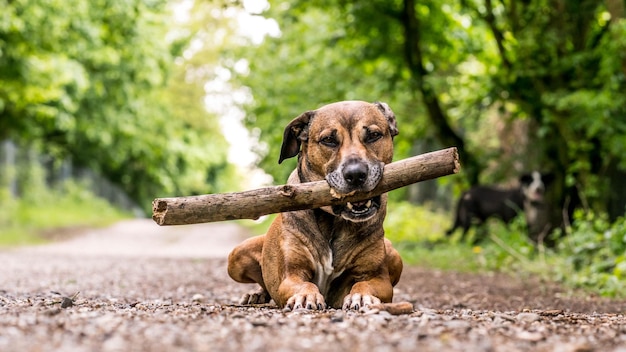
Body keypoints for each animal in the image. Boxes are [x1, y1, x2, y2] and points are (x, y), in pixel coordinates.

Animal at [227, 100, 402, 310]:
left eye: (374, 135)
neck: (333, 221)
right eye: (328, 140)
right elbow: (303, 283)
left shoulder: (378, 278)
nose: (355, 174)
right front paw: (305, 296)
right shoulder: (291, 275)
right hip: (236, 255)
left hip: (394, 253)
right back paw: (256, 294)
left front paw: (361, 295)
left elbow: (366, 283)